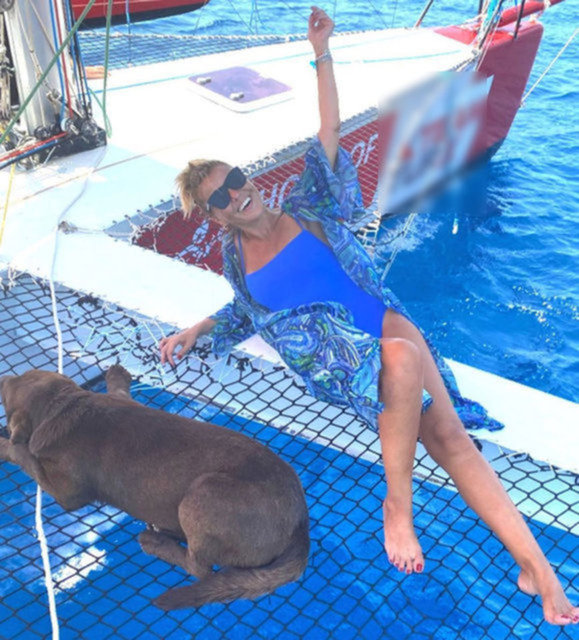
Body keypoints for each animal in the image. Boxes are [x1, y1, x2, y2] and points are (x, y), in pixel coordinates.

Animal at [0, 366, 309, 610]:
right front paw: (116, 373)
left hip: (201, 496)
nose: (3, 377)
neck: (65, 407)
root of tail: (301, 524)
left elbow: (25, 456)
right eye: (25, 373)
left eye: (5, 397)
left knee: (200, 568)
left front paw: (6, 447)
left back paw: (156, 542)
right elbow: (120, 390)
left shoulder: (66, 492)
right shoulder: (118, 399)